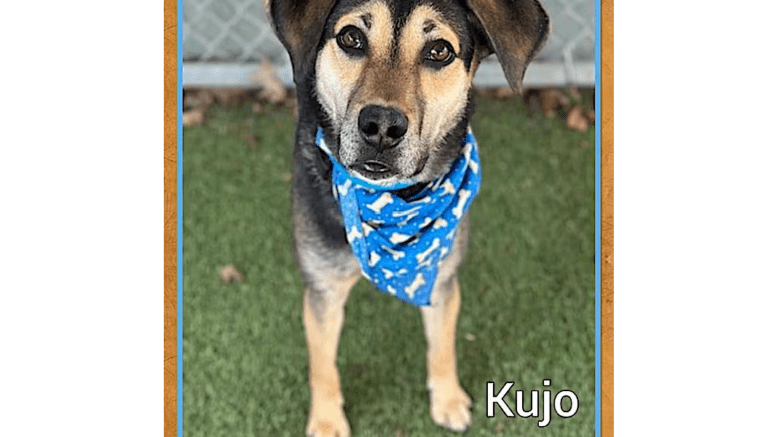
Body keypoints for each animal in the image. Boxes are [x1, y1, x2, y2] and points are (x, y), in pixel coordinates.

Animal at [264, 0, 548, 432]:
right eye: (351, 38)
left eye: (439, 51)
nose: (381, 126)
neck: (391, 201)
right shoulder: (323, 287)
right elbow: (323, 362)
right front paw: (328, 420)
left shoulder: (441, 277)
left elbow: (442, 344)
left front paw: (447, 398)